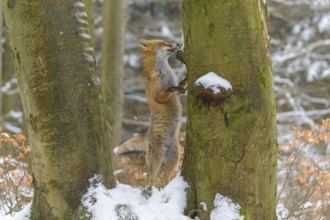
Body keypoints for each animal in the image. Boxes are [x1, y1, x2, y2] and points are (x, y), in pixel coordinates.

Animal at [113, 39, 186, 186]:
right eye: (163, 43)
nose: (177, 43)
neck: (163, 71)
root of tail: (147, 136)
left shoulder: (177, 95)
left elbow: (181, 84)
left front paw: (186, 79)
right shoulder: (158, 95)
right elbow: (169, 89)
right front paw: (174, 87)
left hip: (174, 160)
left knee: (165, 180)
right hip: (155, 162)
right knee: (150, 180)